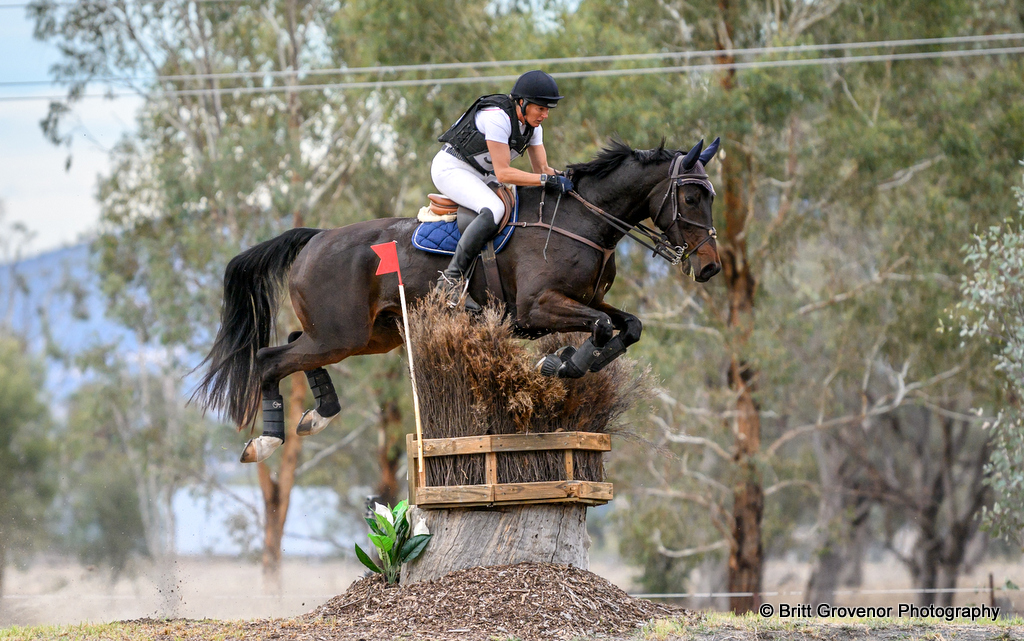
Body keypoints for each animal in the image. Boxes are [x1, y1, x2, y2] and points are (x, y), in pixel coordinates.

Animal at [193, 137, 722, 463]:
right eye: (691, 199)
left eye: (710, 197)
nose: (711, 266)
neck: (582, 221)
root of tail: (316, 237)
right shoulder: (537, 307)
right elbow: (601, 327)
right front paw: (562, 363)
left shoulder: (583, 300)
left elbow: (627, 326)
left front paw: (571, 361)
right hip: (341, 334)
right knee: (269, 358)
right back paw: (266, 440)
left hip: (365, 335)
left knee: (292, 342)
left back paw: (318, 414)